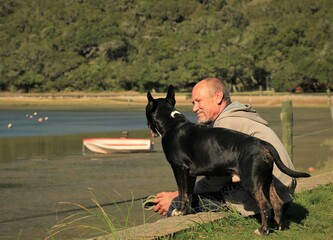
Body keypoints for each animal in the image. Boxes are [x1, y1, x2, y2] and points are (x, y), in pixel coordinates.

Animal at [144, 85, 310, 235]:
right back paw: (278, 227)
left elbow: (182, 192)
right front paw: (186, 212)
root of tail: (263, 145)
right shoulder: (190, 173)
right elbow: (188, 194)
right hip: (266, 180)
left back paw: (263, 230)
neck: (171, 122)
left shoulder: (179, 168)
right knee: (277, 202)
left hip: (251, 181)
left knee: (265, 206)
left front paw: (178, 211)